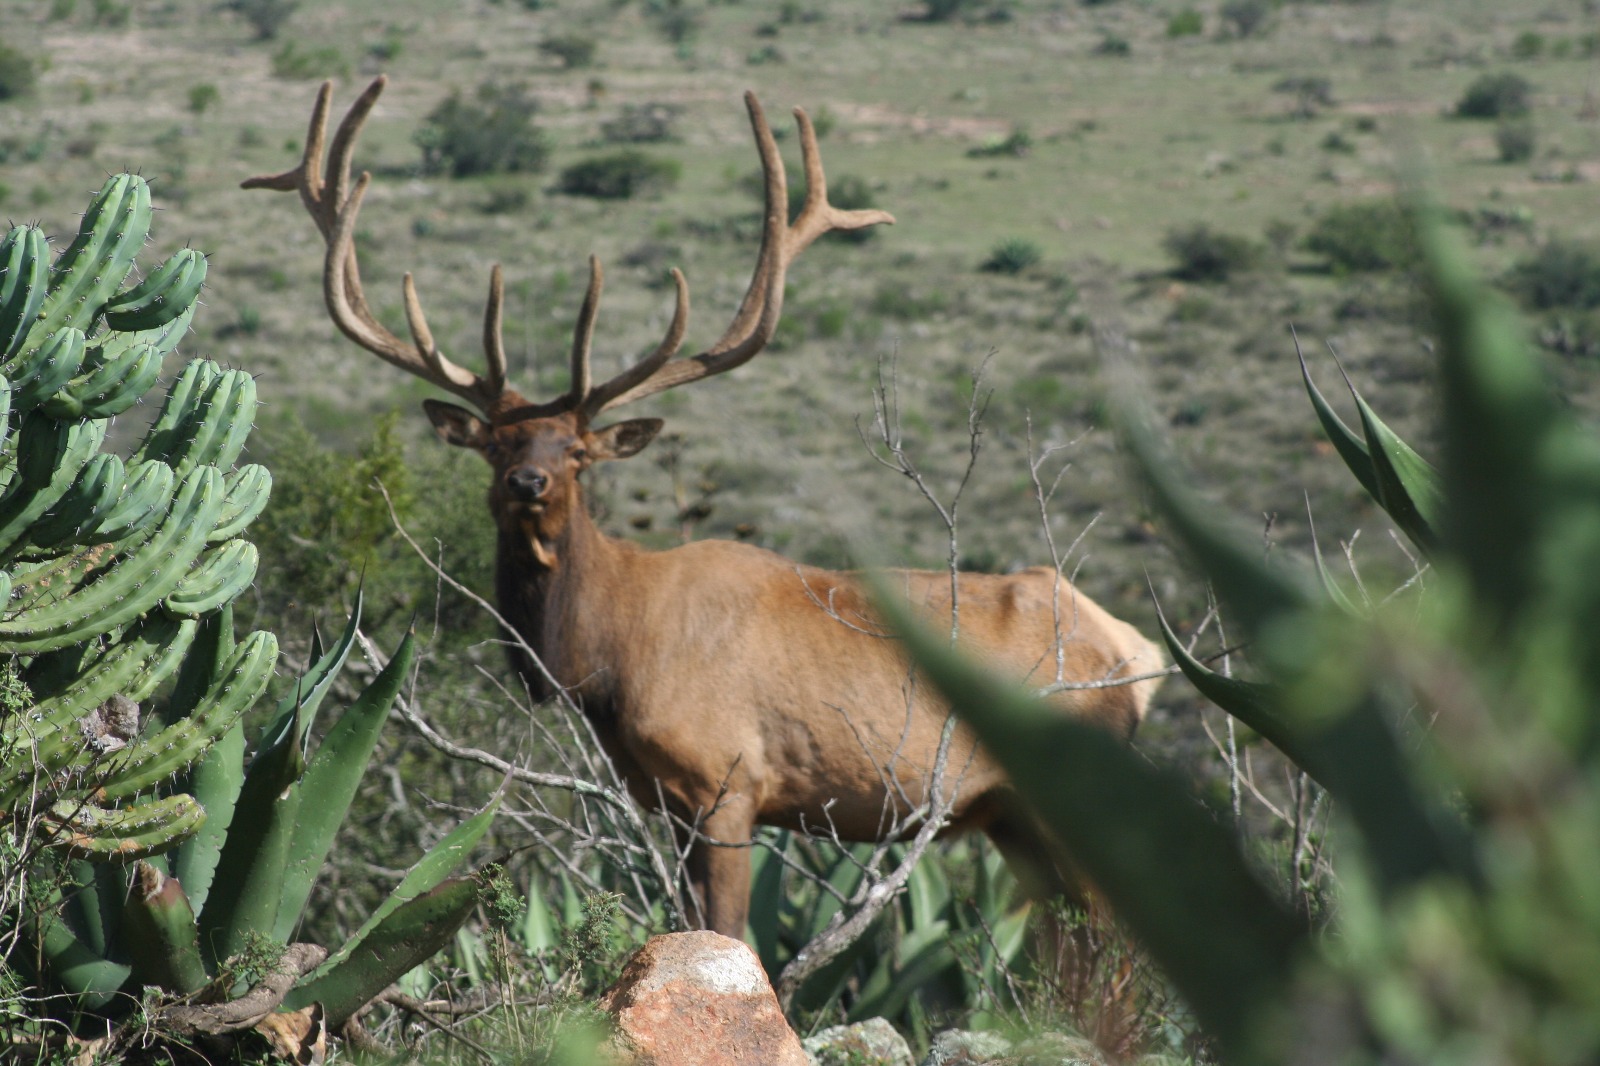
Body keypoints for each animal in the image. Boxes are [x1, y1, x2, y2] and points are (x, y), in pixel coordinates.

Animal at [246, 76, 1166, 939]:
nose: (527, 484)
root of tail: (1139, 653)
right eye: (499, 445)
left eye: (574, 450)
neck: (610, 657)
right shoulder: (664, 799)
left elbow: (729, 934)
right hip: (1013, 817)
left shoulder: (730, 780)